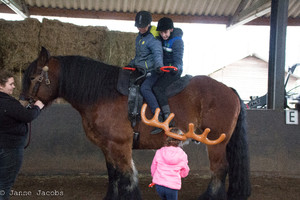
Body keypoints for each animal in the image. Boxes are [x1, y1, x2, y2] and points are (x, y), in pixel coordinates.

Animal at [21, 47, 251, 200]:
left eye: (32, 77)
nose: (23, 103)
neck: (103, 94)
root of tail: (229, 90)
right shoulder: (107, 146)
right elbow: (113, 174)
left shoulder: (120, 144)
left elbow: (126, 177)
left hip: (216, 142)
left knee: (219, 169)